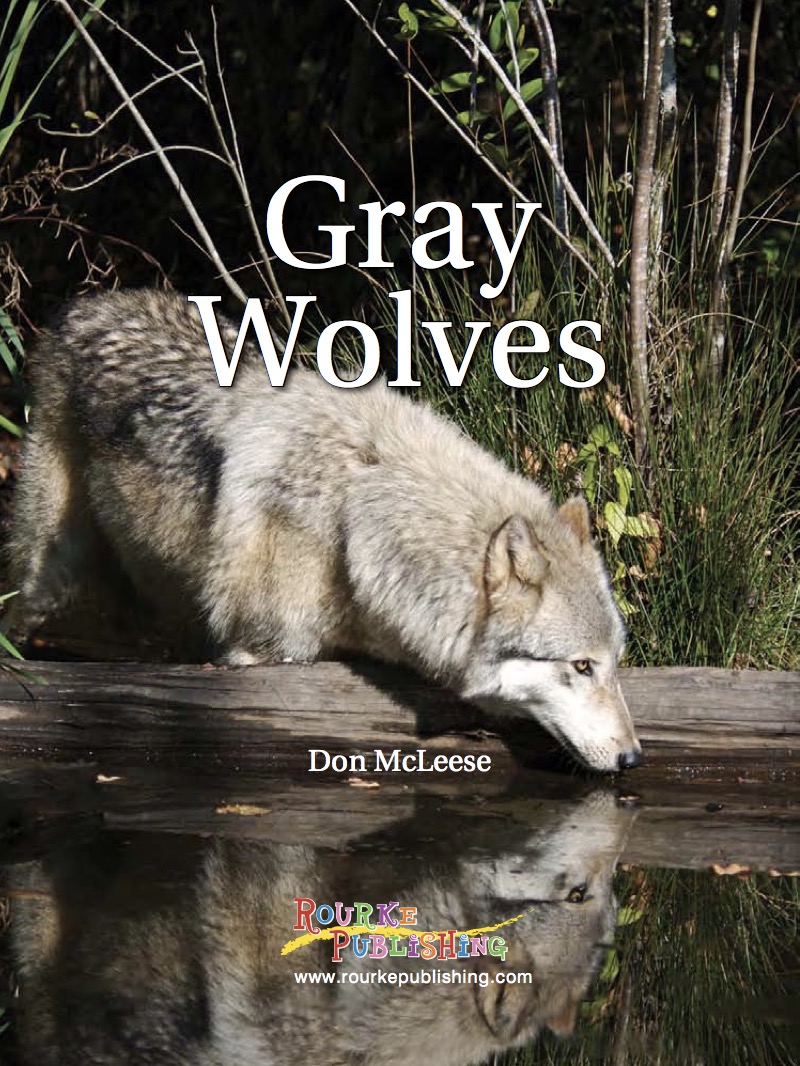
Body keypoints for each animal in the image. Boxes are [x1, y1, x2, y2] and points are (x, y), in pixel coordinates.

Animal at [8, 289, 641, 772]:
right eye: (581, 667)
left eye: (613, 663)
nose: (634, 757)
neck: (354, 524)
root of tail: (89, 304)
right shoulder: (256, 657)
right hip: (49, 574)